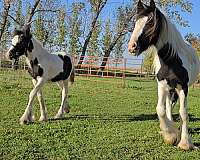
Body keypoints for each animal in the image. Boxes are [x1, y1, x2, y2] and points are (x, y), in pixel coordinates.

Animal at [128, 0, 200, 150]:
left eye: (150, 22)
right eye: (136, 22)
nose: (132, 47)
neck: (172, 61)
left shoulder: (183, 87)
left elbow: (183, 113)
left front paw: (185, 143)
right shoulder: (162, 85)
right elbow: (160, 110)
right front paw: (170, 135)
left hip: (175, 90)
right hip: (169, 89)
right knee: (168, 108)